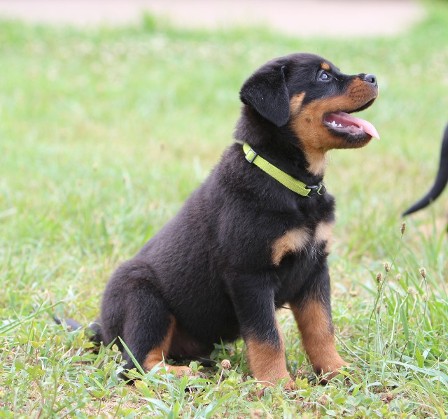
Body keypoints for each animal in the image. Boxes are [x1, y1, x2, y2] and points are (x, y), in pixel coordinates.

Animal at [93, 54, 378, 388]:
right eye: (323, 77)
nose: (373, 77)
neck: (291, 182)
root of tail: (102, 327)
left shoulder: (315, 268)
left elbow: (321, 328)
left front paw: (337, 370)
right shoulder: (249, 274)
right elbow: (268, 337)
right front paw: (277, 384)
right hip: (144, 299)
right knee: (134, 364)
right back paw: (182, 374)